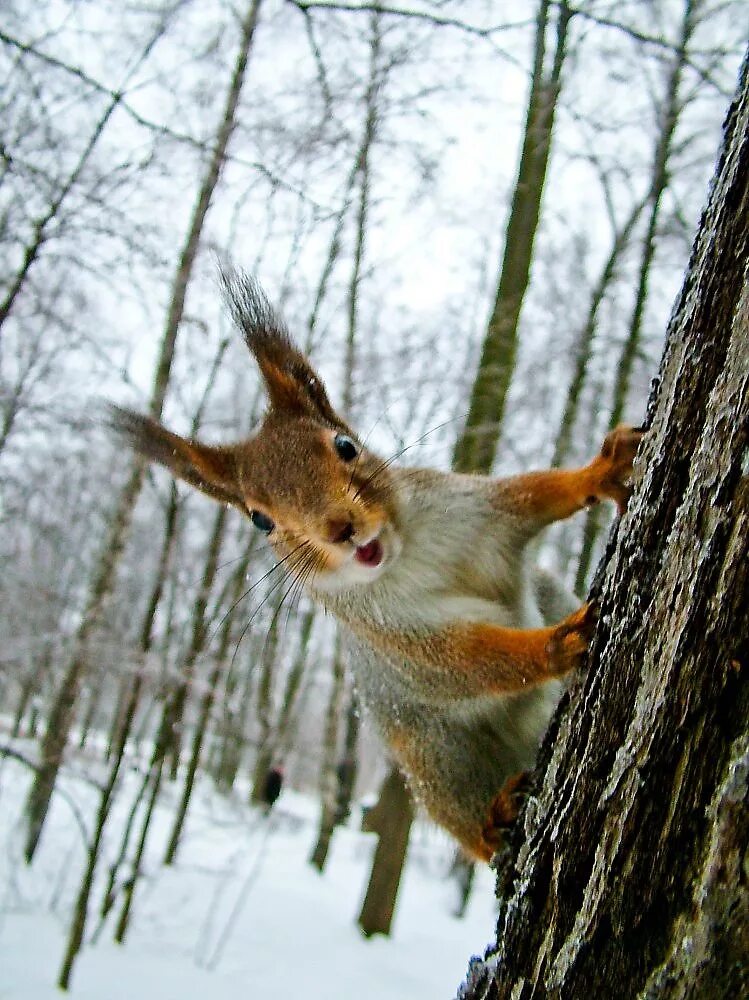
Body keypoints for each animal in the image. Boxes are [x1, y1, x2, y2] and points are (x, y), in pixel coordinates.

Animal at [111, 270, 644, 864]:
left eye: (346, 445)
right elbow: (465, 661)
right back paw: (492, 820)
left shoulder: (475, 509)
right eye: (259, 520)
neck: (404, 555)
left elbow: (533, 496)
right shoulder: (390, 632)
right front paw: (556, 645)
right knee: (463, 818)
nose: (340, 529)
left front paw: (600, 471)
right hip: (433, 757)